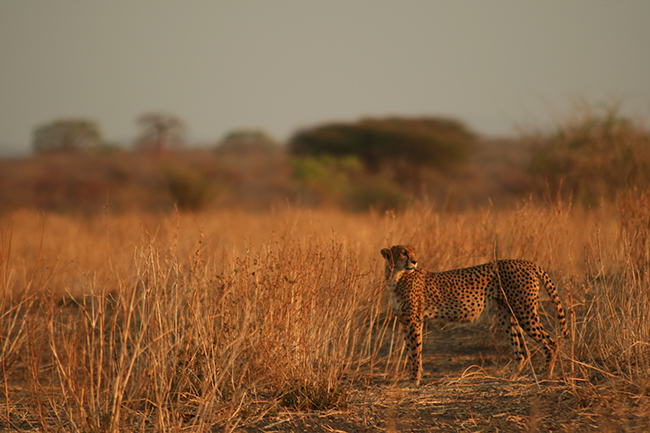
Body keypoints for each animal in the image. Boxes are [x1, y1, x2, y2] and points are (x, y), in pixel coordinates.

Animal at [381, 245, 569, 386]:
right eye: (404, 252)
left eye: (413, 252)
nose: (414, 261)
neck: (396, 277)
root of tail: (525, 262)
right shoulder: (405, 322)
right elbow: (410, 351)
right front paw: (413, 378)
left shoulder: (414, 321)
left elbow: (415, 351)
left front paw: (414, 380)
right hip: (506, 314)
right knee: (522, 350)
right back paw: (510, 378)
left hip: (524, 311)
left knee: (551, 342)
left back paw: (545, 376)